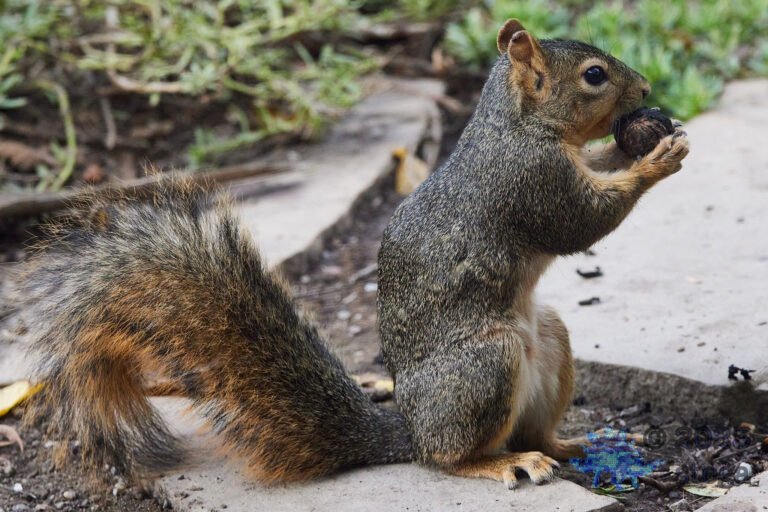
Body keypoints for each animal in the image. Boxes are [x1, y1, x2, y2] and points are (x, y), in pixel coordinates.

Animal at [19, 19, 688, 488]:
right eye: (595, 76)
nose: (648, 89)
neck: (516, 125)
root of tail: (410, 427)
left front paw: (642, 141)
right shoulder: (531, 181)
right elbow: (581, 223)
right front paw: (655, 160)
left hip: (546, 338)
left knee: (530, 422)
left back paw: (561, 444)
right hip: (485, 363)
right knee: (447, 456)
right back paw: (498, 463)